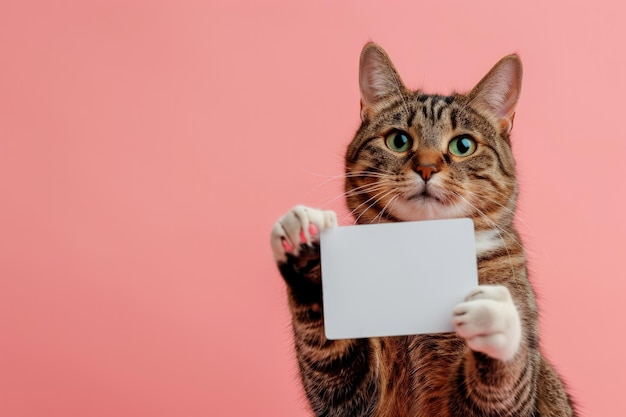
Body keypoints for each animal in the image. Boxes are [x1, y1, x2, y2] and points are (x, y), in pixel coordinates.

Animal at [268, 43, 576, 416]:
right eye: (398, 140)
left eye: (463, 145)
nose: (427, 168)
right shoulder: (353, 397)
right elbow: (336, 364)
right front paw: (308, 250)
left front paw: (496, 319)